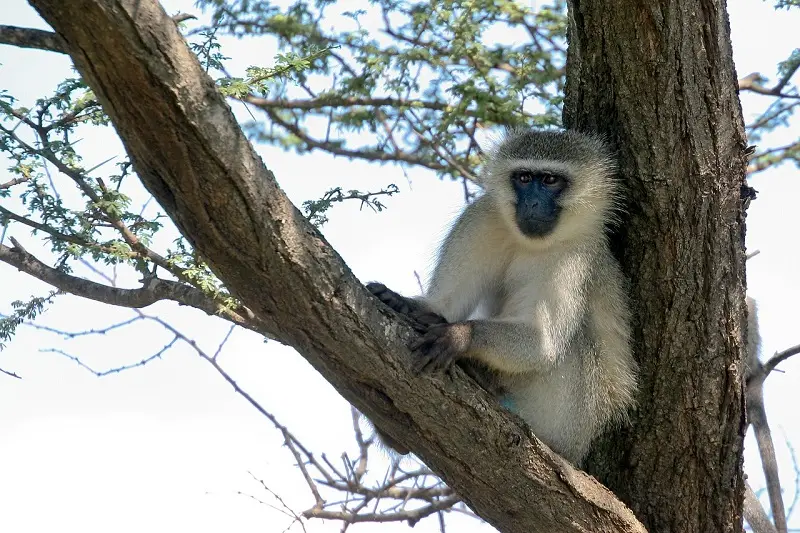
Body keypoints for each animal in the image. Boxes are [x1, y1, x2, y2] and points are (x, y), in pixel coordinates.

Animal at [366, 128, 638, 464]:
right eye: (524, 177)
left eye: (550, 180)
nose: (532, 203)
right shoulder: (481, 218)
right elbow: (445, 305)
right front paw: (406, 303)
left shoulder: (574, 258)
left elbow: (543, 344)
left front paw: (461, 335)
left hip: (564, 421)